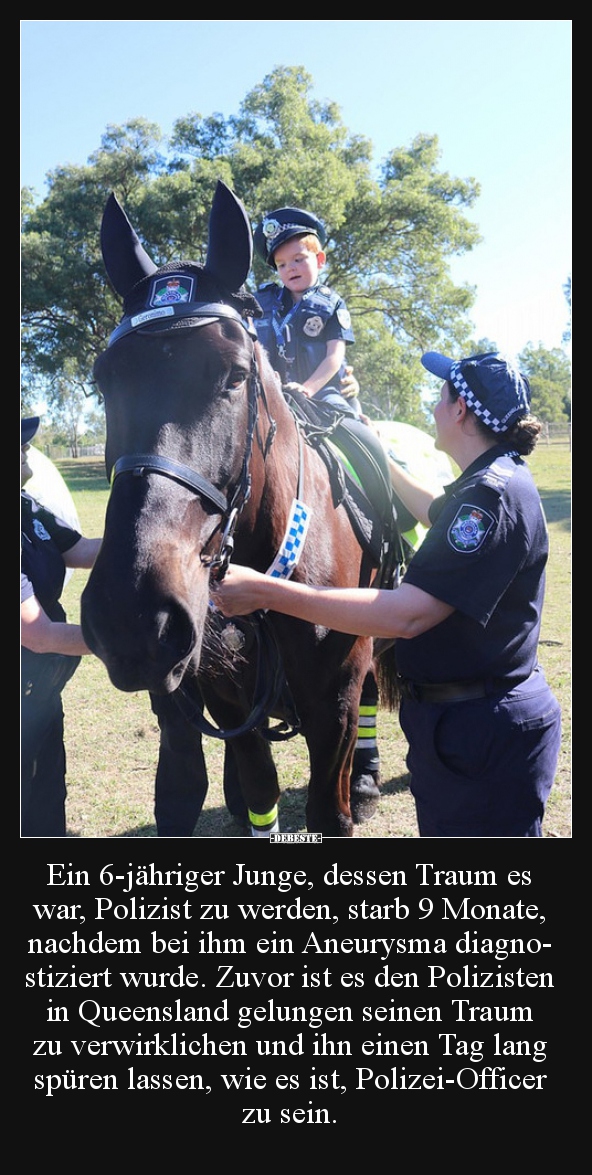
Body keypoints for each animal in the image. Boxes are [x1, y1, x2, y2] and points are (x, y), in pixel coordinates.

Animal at [81, 180, 399, 836]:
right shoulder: (231, 705)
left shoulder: (333, 706)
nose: (132, 615)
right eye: (104, 379)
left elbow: (329, 808)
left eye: (234, 375)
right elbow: (258, 792)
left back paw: (366, 779)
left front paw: (351, 791)